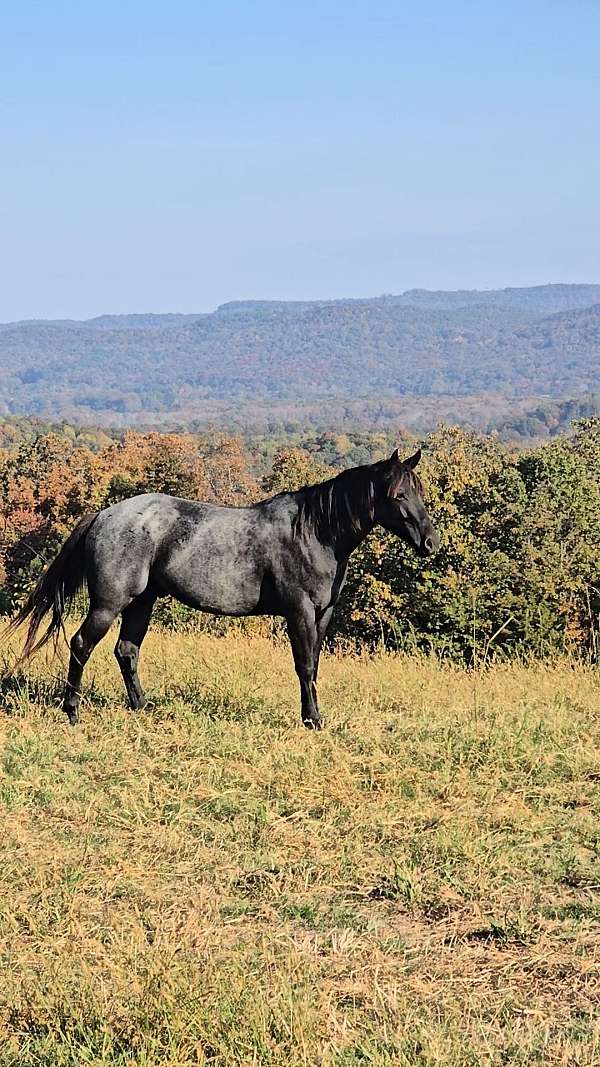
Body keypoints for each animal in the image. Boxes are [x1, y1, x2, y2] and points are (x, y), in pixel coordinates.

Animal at [4, 446, 433, 729]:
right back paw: (72, 712)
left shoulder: (323, 613)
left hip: (142, 602)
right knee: (81, 645)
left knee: (126, 651)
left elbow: (314, 665)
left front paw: (313, 715)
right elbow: (304, 665)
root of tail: (103, 515)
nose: (430, 543)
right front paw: (312, 721)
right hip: (109, 603)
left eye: (420, 492)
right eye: (398, 495)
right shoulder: (298, 611)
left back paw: (142, 707)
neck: (314, 532)